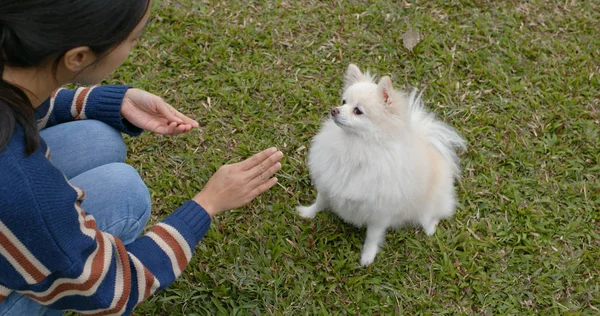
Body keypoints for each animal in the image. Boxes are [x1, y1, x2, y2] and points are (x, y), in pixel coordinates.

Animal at [298, 64, 466, 266]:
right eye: (343, 101)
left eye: (358, 111)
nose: (334, 110)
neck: (356, 146)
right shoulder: (328, 183)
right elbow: (320, 201)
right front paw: (307, 213)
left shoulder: (380, 212)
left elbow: (372, 236)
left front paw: (367, 257)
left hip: (431, 204)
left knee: (432, 215)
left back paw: (430, 228)